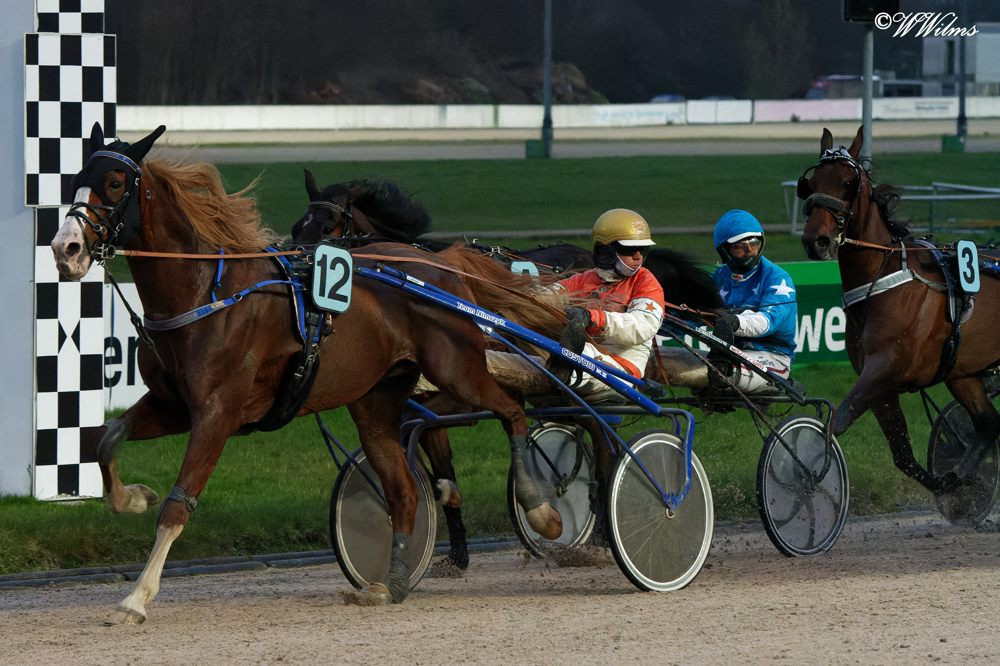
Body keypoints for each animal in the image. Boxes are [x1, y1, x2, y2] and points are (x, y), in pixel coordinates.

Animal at [49, 123, 567, 622]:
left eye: (115, 182)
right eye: (75, 181)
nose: (65, 249)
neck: (205, 293)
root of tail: (439, 265)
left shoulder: (217, 413)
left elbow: (179, 505)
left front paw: (137, 598)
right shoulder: (172, 405)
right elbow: (106, 440)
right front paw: (134, 497)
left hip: (455, 366)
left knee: (510, 410)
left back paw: (542, 510)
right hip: (376, 402)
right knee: (403, 491)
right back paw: (392, 583)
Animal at [292, 171, 722, 570]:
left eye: (328, 229)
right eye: (297, 228)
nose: (303, 271)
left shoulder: (457, 395)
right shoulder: (426, 406)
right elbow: (434, 463)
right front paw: (454, 552)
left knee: (604, 444)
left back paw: (604, 529)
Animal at [798, 126, 1000, 511]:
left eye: (849, 182)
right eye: (810, 182)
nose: (816, 240)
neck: (882, 282)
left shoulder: (885, 367)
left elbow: (839, 419)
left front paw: (809, 470)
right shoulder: (881, 384)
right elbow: (903, 455)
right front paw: (953, 485)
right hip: (963, 375)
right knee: (987, 425)